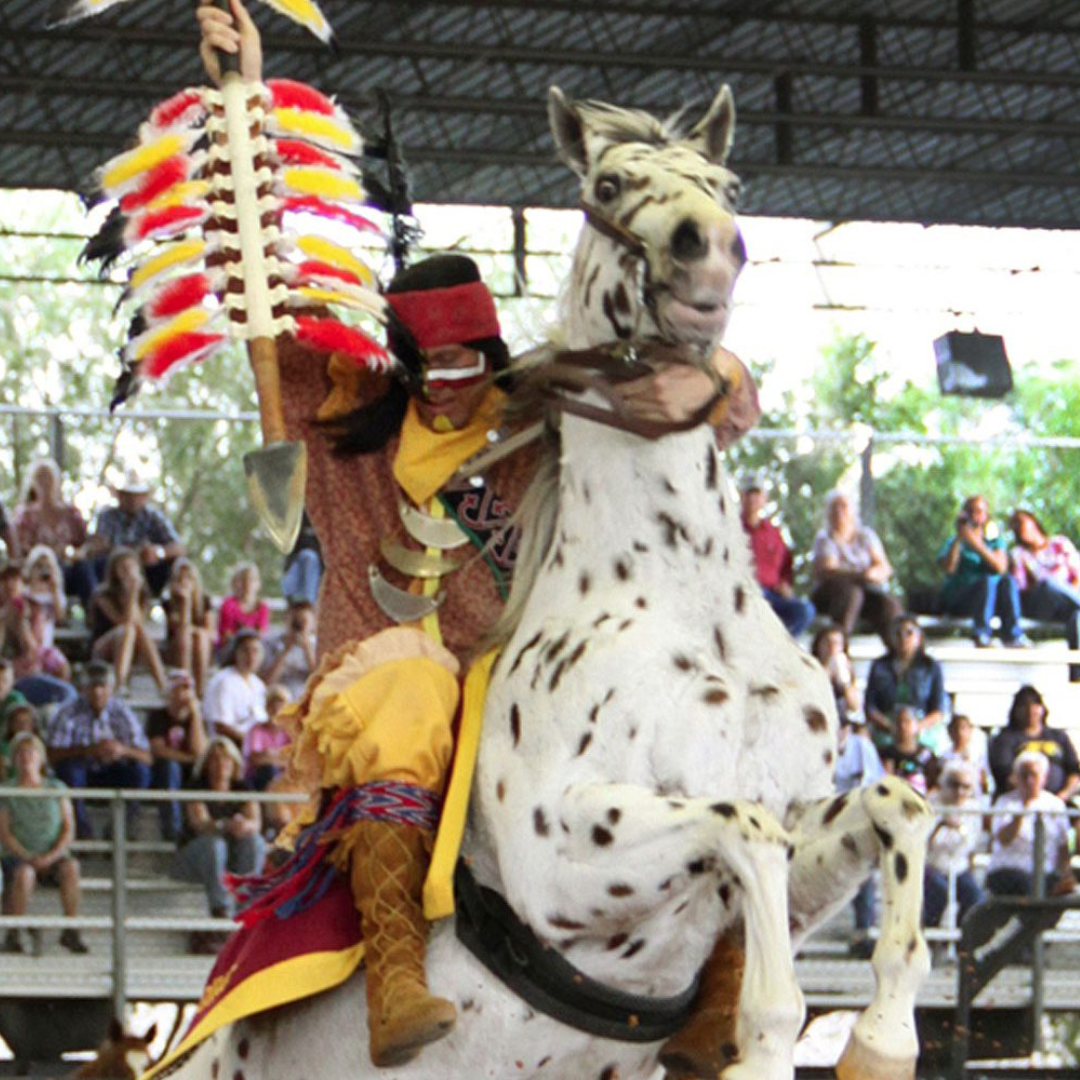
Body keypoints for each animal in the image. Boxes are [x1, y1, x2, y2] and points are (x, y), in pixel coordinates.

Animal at [156, 88, 933, 1080]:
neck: (680, 599)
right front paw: (760, 1043)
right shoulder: (564, 858)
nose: (708, 245)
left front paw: (879, 1041)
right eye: (607, 184)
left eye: (725, 184)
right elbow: (748, 853)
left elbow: (895, 805)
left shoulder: (797, 815)